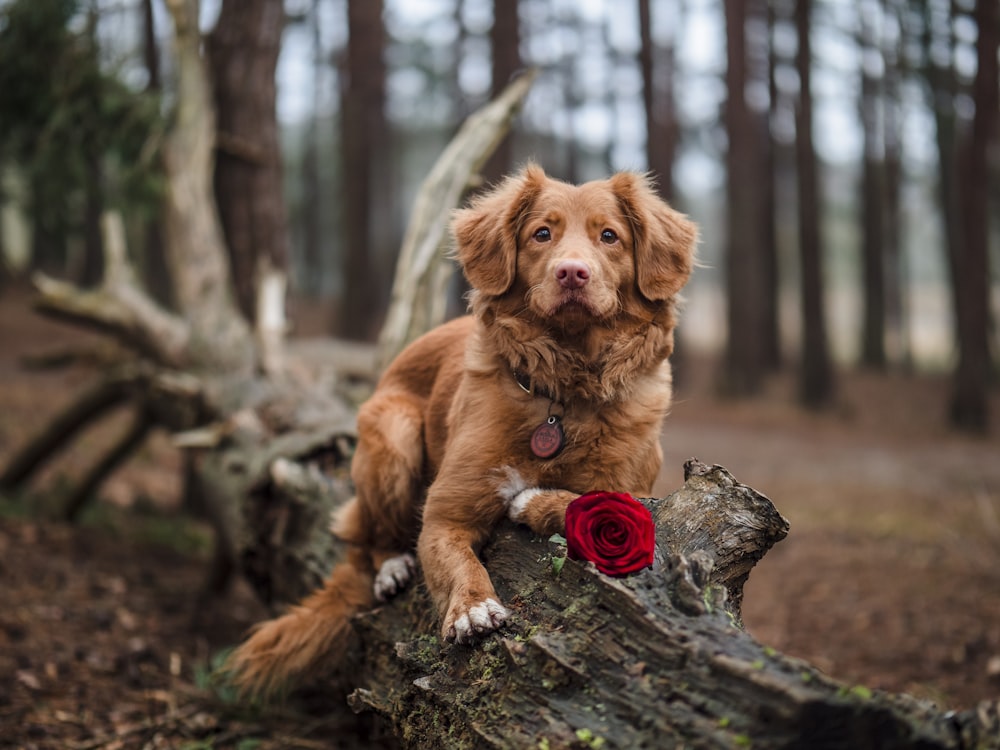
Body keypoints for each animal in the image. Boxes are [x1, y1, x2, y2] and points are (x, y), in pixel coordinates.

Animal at [227, 166, 696, 700]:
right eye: (542, 234)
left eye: (609, 236)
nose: (572, 272)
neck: (563, 394)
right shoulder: (444, 514)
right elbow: (457, 561)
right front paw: (472, 608)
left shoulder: (637, 492)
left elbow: (597, 501)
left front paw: (532, 501)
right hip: (393, 430)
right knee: (369, 539)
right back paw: (391, 564)